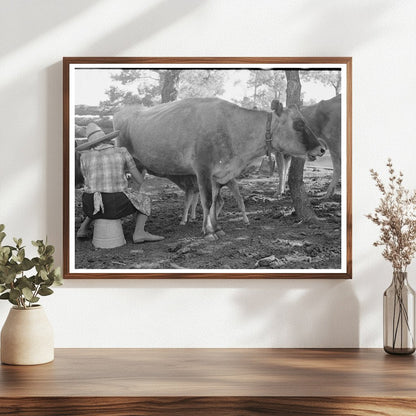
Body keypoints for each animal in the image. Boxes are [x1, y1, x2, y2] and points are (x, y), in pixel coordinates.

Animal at [113, 98, 324, 240]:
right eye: (299, 124)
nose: (321, 149)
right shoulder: (202, 169)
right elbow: (207, 201)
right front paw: (208, 232)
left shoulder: (217, 175)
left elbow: (214, 201)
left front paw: (216, 227)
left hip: (139, 167)